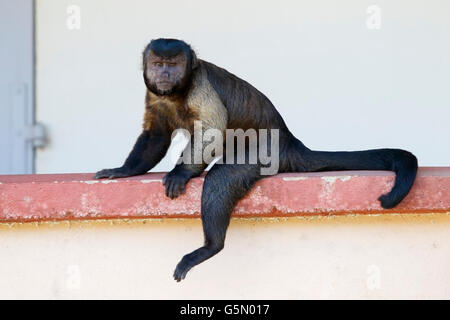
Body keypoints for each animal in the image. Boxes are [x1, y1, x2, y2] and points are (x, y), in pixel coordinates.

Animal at [95, 38, 418, 282]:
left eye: (173, 65)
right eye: (158, 64)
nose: (164, 73)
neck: (175, 94)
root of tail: (289, 141)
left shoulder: (200, 85)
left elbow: (212, 130)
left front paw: (182, 171)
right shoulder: (154, 96)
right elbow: (155, 135)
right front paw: (124, 170)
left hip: (265, 152)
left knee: (221, 179)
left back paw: (211, 246)